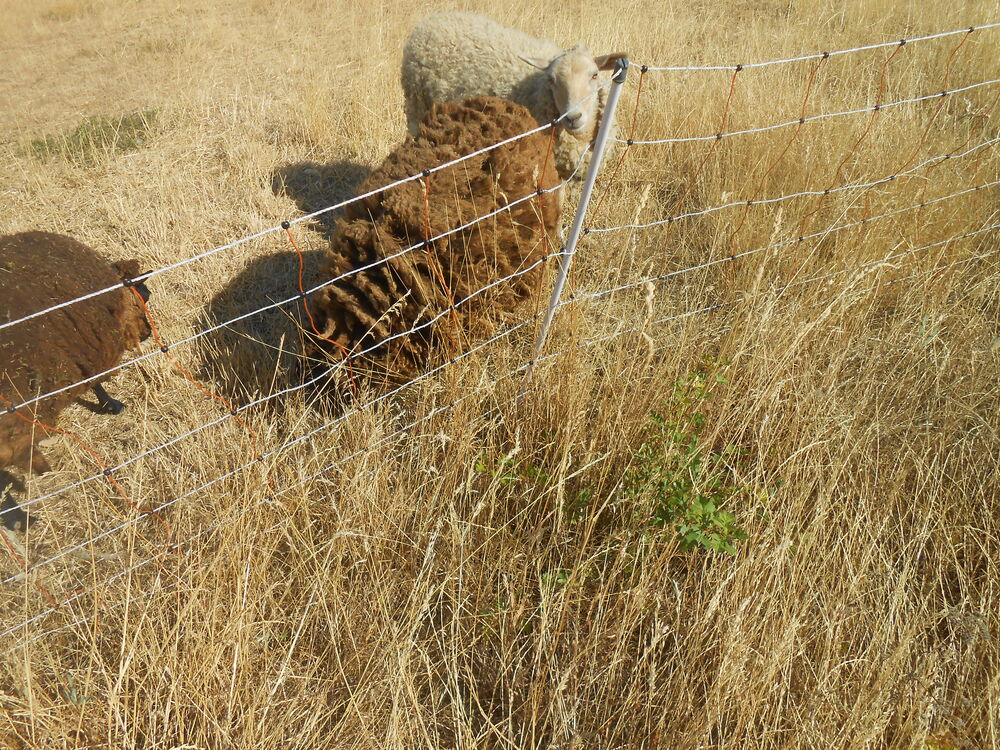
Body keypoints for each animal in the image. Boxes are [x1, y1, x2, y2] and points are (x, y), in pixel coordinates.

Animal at [0, 231, 150, 531]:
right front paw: (111, 404)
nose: (148, 333)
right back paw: (23, 517)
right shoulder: (83, 348)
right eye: (143, 297)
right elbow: (94, 379)